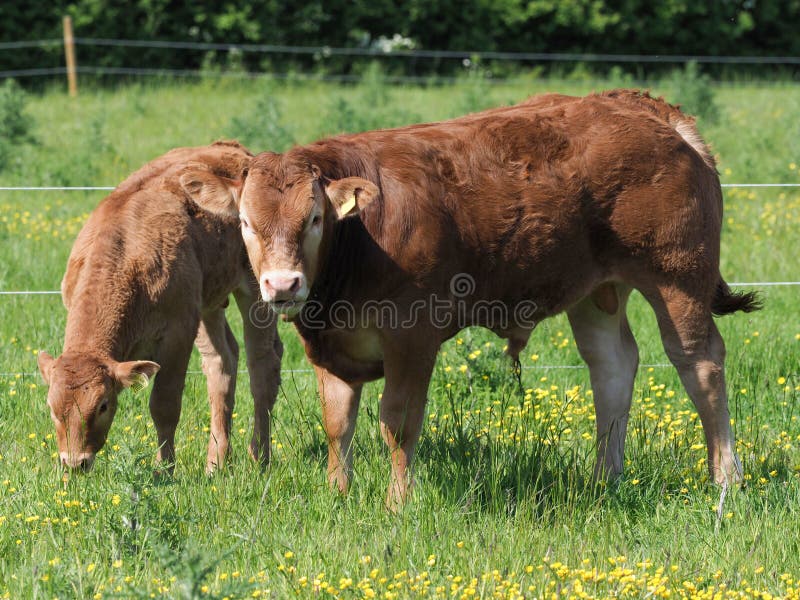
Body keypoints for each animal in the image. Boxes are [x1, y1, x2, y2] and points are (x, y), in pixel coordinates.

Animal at [37, 142, 282, 474]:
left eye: (102, 405)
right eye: (52, 407)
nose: (75, 463)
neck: (123, 255)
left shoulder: (178, 334)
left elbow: (164, 405)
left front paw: (164, 469)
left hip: (256, 290)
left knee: (262, 367)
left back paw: (260, 458)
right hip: (207, 306)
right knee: (222, 362)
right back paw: (216, 463)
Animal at [181, 91, 756, 508]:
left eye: (316, 218)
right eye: (245, 223)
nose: (282, 286)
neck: (359, 243)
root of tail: (644, 107)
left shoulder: (412, 335)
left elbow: (397, 420)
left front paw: (397, 503)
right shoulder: (329, 345)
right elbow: (338, 422)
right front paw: (337, 495)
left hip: (678, 274)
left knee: (700, 364)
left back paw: (725, 481)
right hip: (596, 290)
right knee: (612, 367)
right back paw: (604, 480)